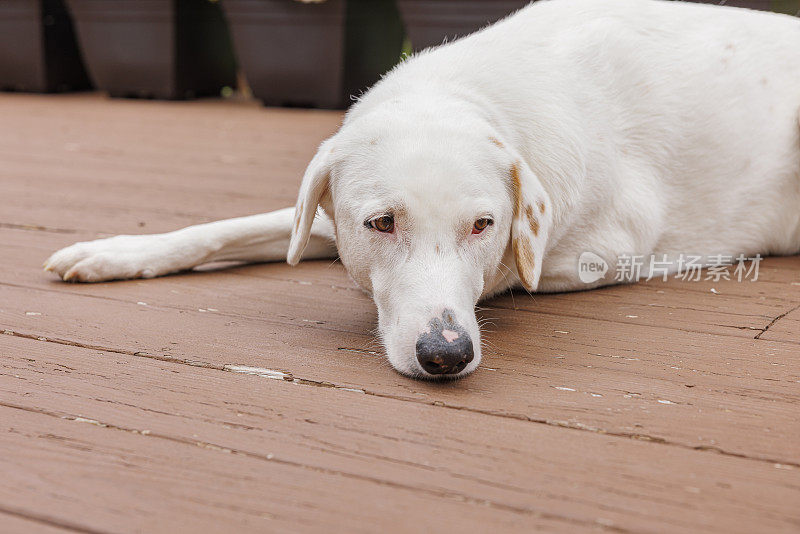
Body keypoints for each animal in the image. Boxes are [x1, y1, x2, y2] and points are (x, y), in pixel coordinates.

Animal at [45, 0, 800, 378]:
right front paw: (116, 251)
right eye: (381, 223)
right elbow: (230, 230)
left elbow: (508, 274)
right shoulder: (325, 214)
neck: (463, 90)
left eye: (484, 225)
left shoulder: (605, 247)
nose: (447, 355)